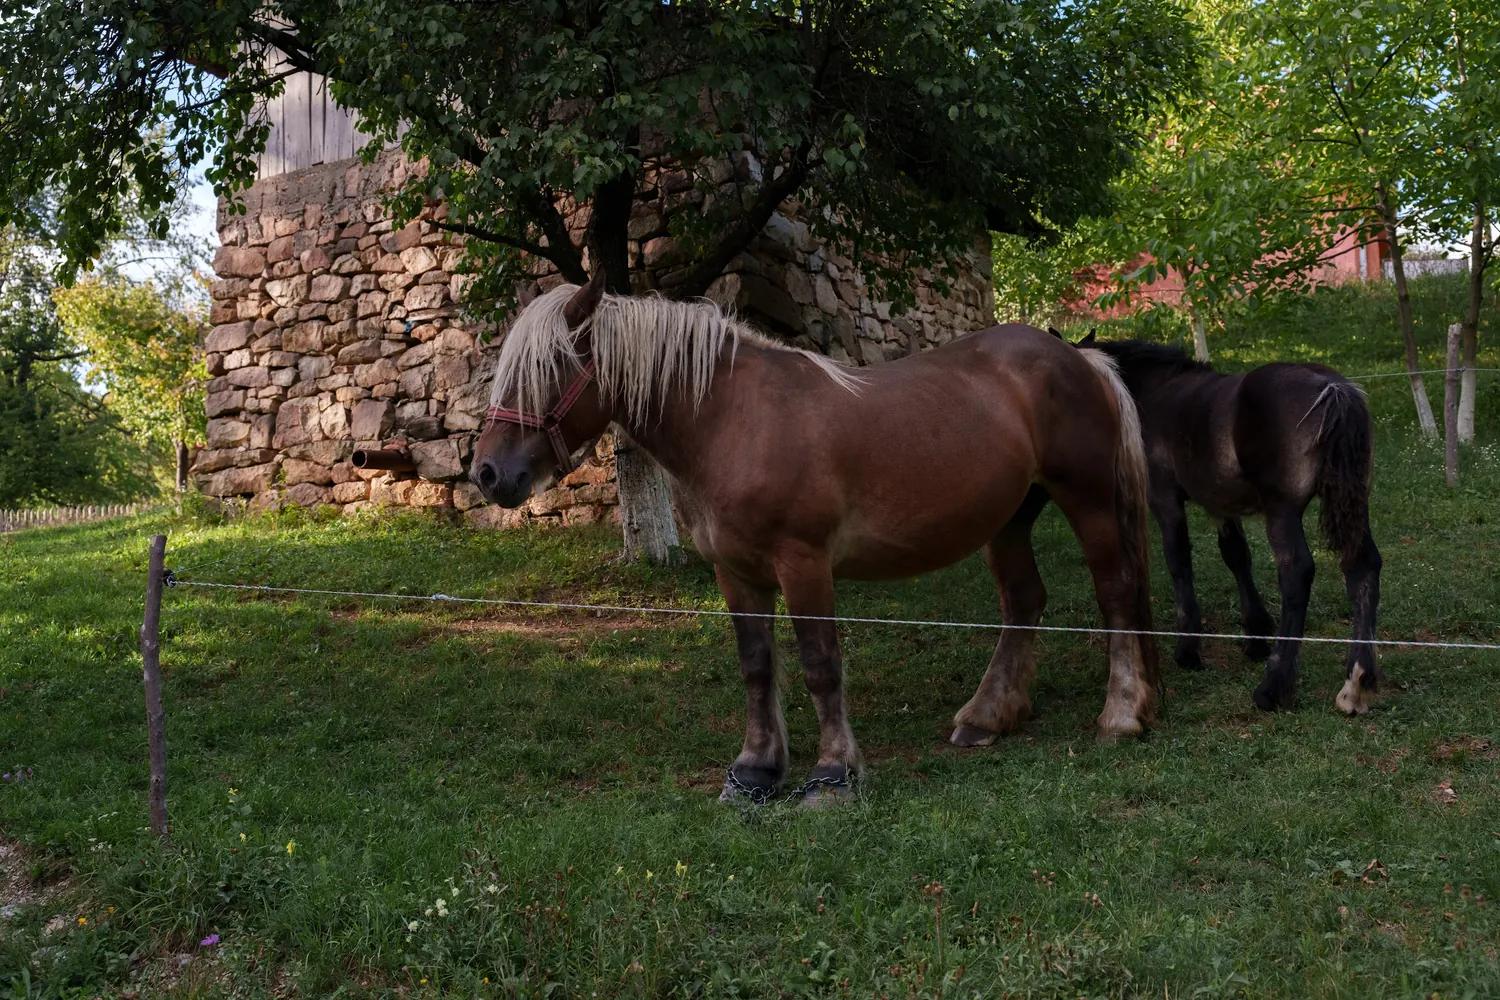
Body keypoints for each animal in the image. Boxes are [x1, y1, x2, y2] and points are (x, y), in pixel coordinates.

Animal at [469, 273, 1160, 804]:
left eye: (552, 367)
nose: (489, 473)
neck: (731, 421)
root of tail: (1080, 357)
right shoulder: (735, 572)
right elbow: (756, 666)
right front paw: (755, 770)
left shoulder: (802, 564)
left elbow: (820, 665)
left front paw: (832, 774)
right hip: (1009, 518)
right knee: (1024, 602)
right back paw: (987, 717)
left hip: (1088, 501)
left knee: (1115, 590)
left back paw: (1122, 714)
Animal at [1087, 337, 1382, 715]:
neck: (1158, 391)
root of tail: (1334, 389)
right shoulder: (1222, 506)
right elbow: (1237, 557)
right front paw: (1255, 634)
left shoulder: (1166, 501)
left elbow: (1179, 562)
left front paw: (1188, 648)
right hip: (1353, 503)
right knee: (1363, 567)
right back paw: (1356, 682)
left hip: (1283, 512)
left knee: (1296, 573)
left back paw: (1273, 687)